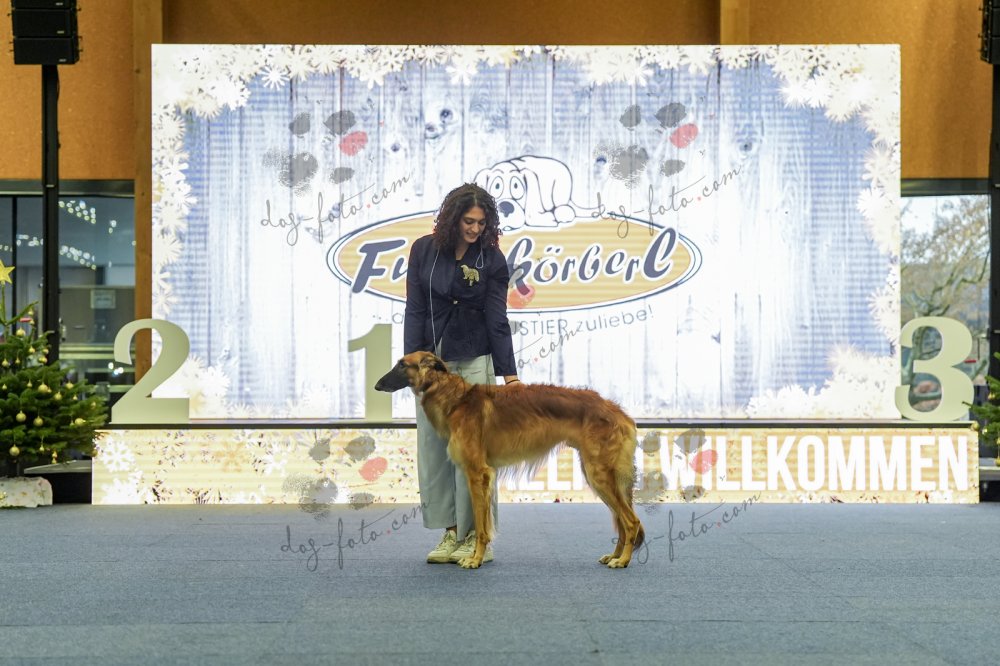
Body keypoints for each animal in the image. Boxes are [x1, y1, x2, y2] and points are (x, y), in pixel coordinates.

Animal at [375, 351, 644, 569]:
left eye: (402, 364)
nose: (377, 385)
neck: (456, 399)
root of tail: (620, 413)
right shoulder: (481, 476)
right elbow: (484, 525)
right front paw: (476, 556)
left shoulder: (477, 473)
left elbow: (481, 527)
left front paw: (475, 559)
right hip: (598, 476)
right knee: (622, 522)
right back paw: (614, 555)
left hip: (599, 474)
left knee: (631, 521)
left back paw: (623, 560)